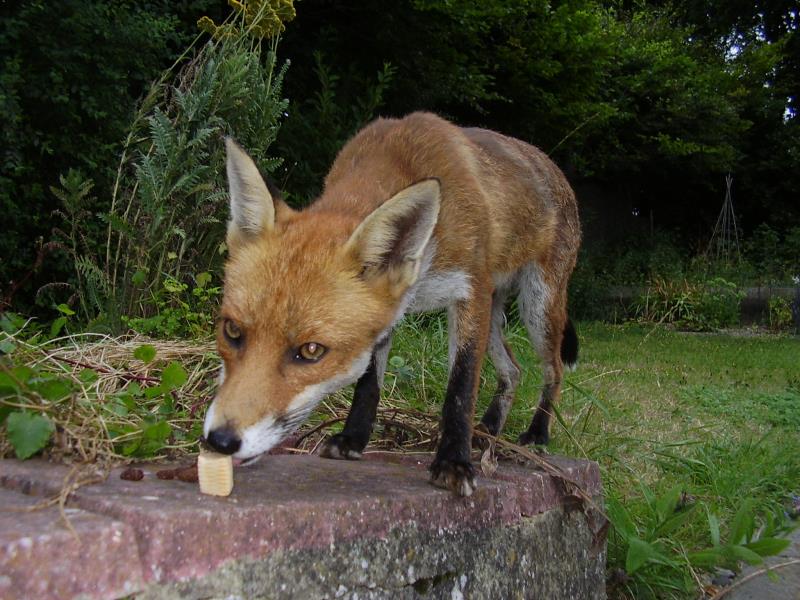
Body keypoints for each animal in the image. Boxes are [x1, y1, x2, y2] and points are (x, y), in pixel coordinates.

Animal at [203, 112, 580, 496]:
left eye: (311, 351)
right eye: (231, 331)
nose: (220, 441)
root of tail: (553, 166)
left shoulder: (470, 288)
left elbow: (460, 386)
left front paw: (454, 462)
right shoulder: (391, 313)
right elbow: (369, 381)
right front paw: (353, 439)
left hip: (537, 309)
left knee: (553, 370)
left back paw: (536, 434)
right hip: (493, 318)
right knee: (514, 370)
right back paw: (488, 429)